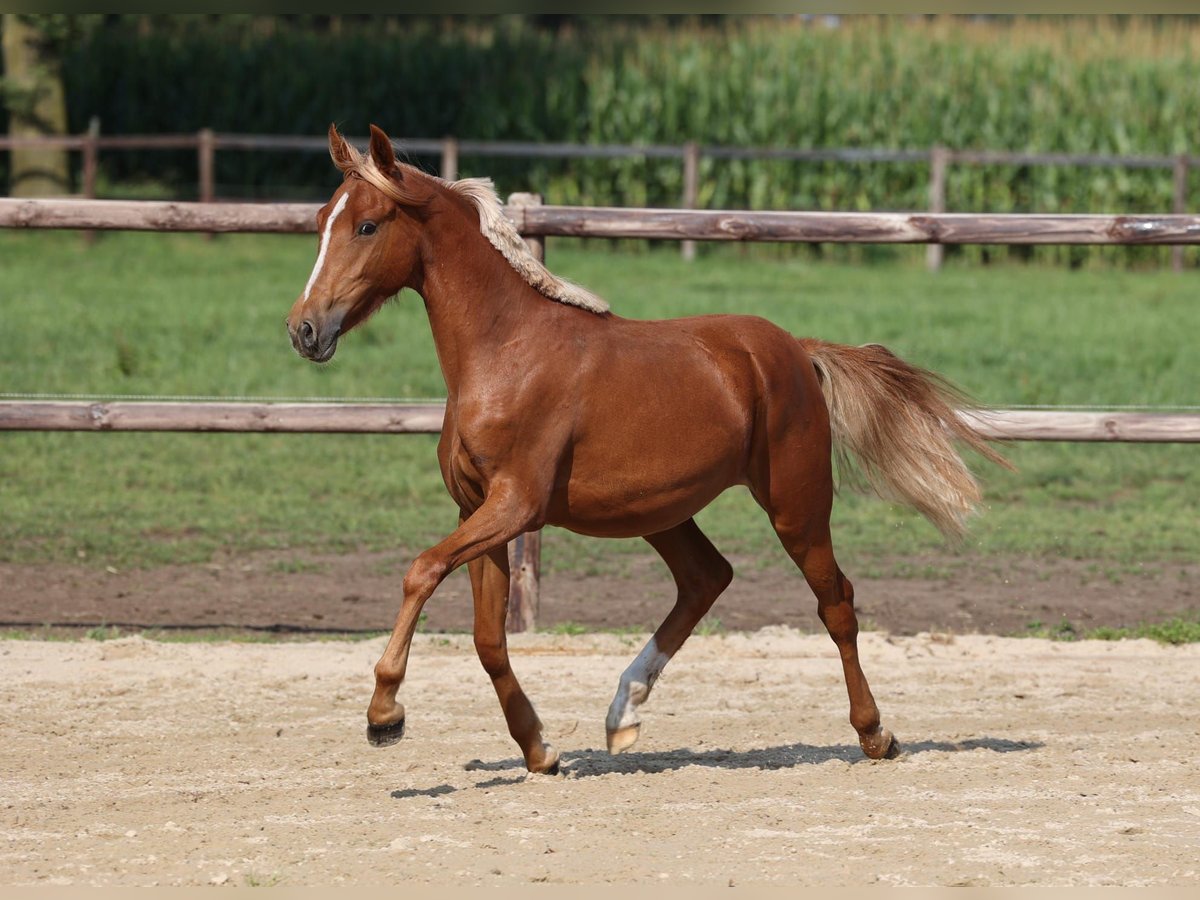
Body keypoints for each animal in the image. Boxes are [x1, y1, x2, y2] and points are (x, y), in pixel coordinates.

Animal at [288, 125, 1003, 777]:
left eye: (368, 225)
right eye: (322, 221)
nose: (304, 329)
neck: (504, 352)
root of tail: (797, 351)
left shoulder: (515, 506)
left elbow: (420, 570)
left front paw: (384, 714)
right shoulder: (476, 511)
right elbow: (488, 638)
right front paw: (539, 749)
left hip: (796, 504)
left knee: (836, 603)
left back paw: (875, 734)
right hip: (659, 510)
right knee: (707, 578)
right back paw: (623, 713)